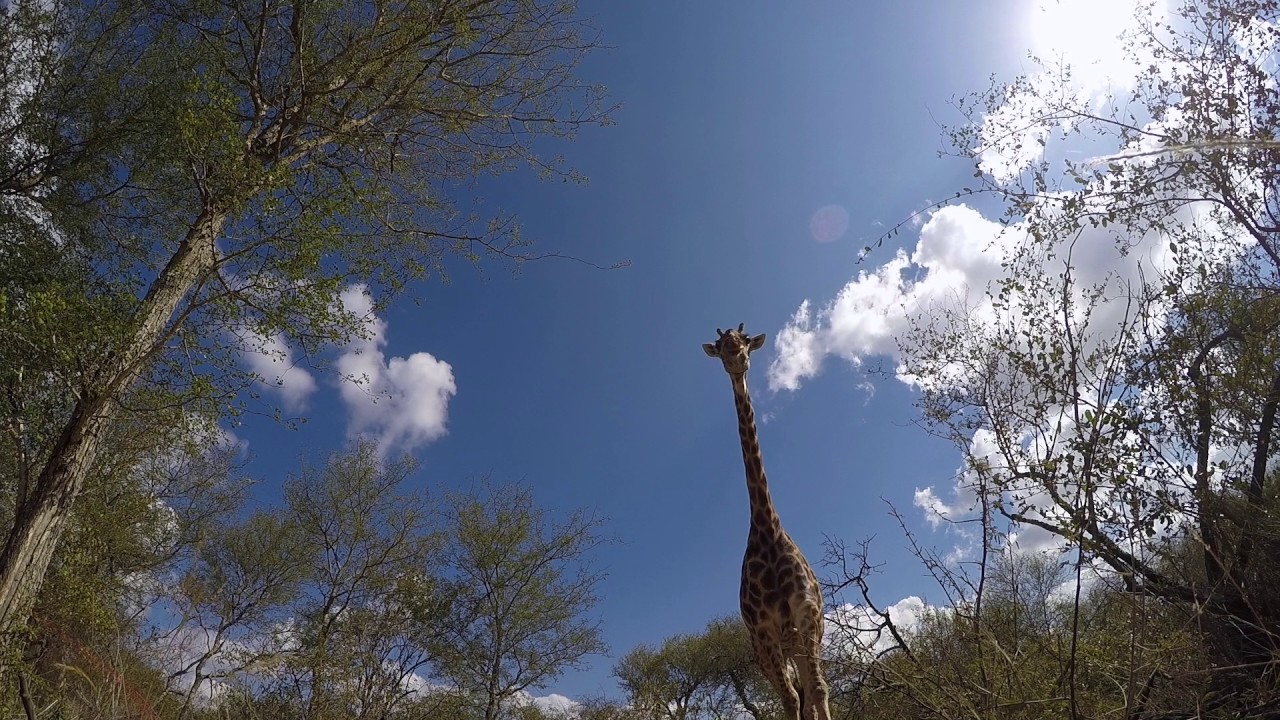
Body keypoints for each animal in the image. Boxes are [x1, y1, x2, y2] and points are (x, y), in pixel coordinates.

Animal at [703, 323, 832, 720]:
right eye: (720, 346)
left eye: (745, 342)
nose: (736, 359)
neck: (767, 530)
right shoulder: (765, 631)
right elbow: (790, 700)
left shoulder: (807, 615)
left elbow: (817, 691)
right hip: (766, 653)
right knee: (793, 695)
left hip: (802, 641)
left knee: (813, 691)